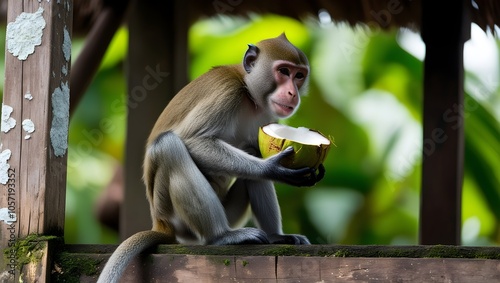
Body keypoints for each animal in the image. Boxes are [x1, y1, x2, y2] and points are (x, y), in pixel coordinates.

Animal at [97, 33, 324, 283]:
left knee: (251, 155)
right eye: (284, 71)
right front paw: (274, 169)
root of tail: (160, 222)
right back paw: (221, 236)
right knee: (169, 146)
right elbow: (194, 140)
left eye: (299, 75)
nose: (293, 93)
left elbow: (256, 149)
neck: (249, 95)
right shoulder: (227, 92)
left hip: (229, 211)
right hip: (176, 217)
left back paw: (275, 236)